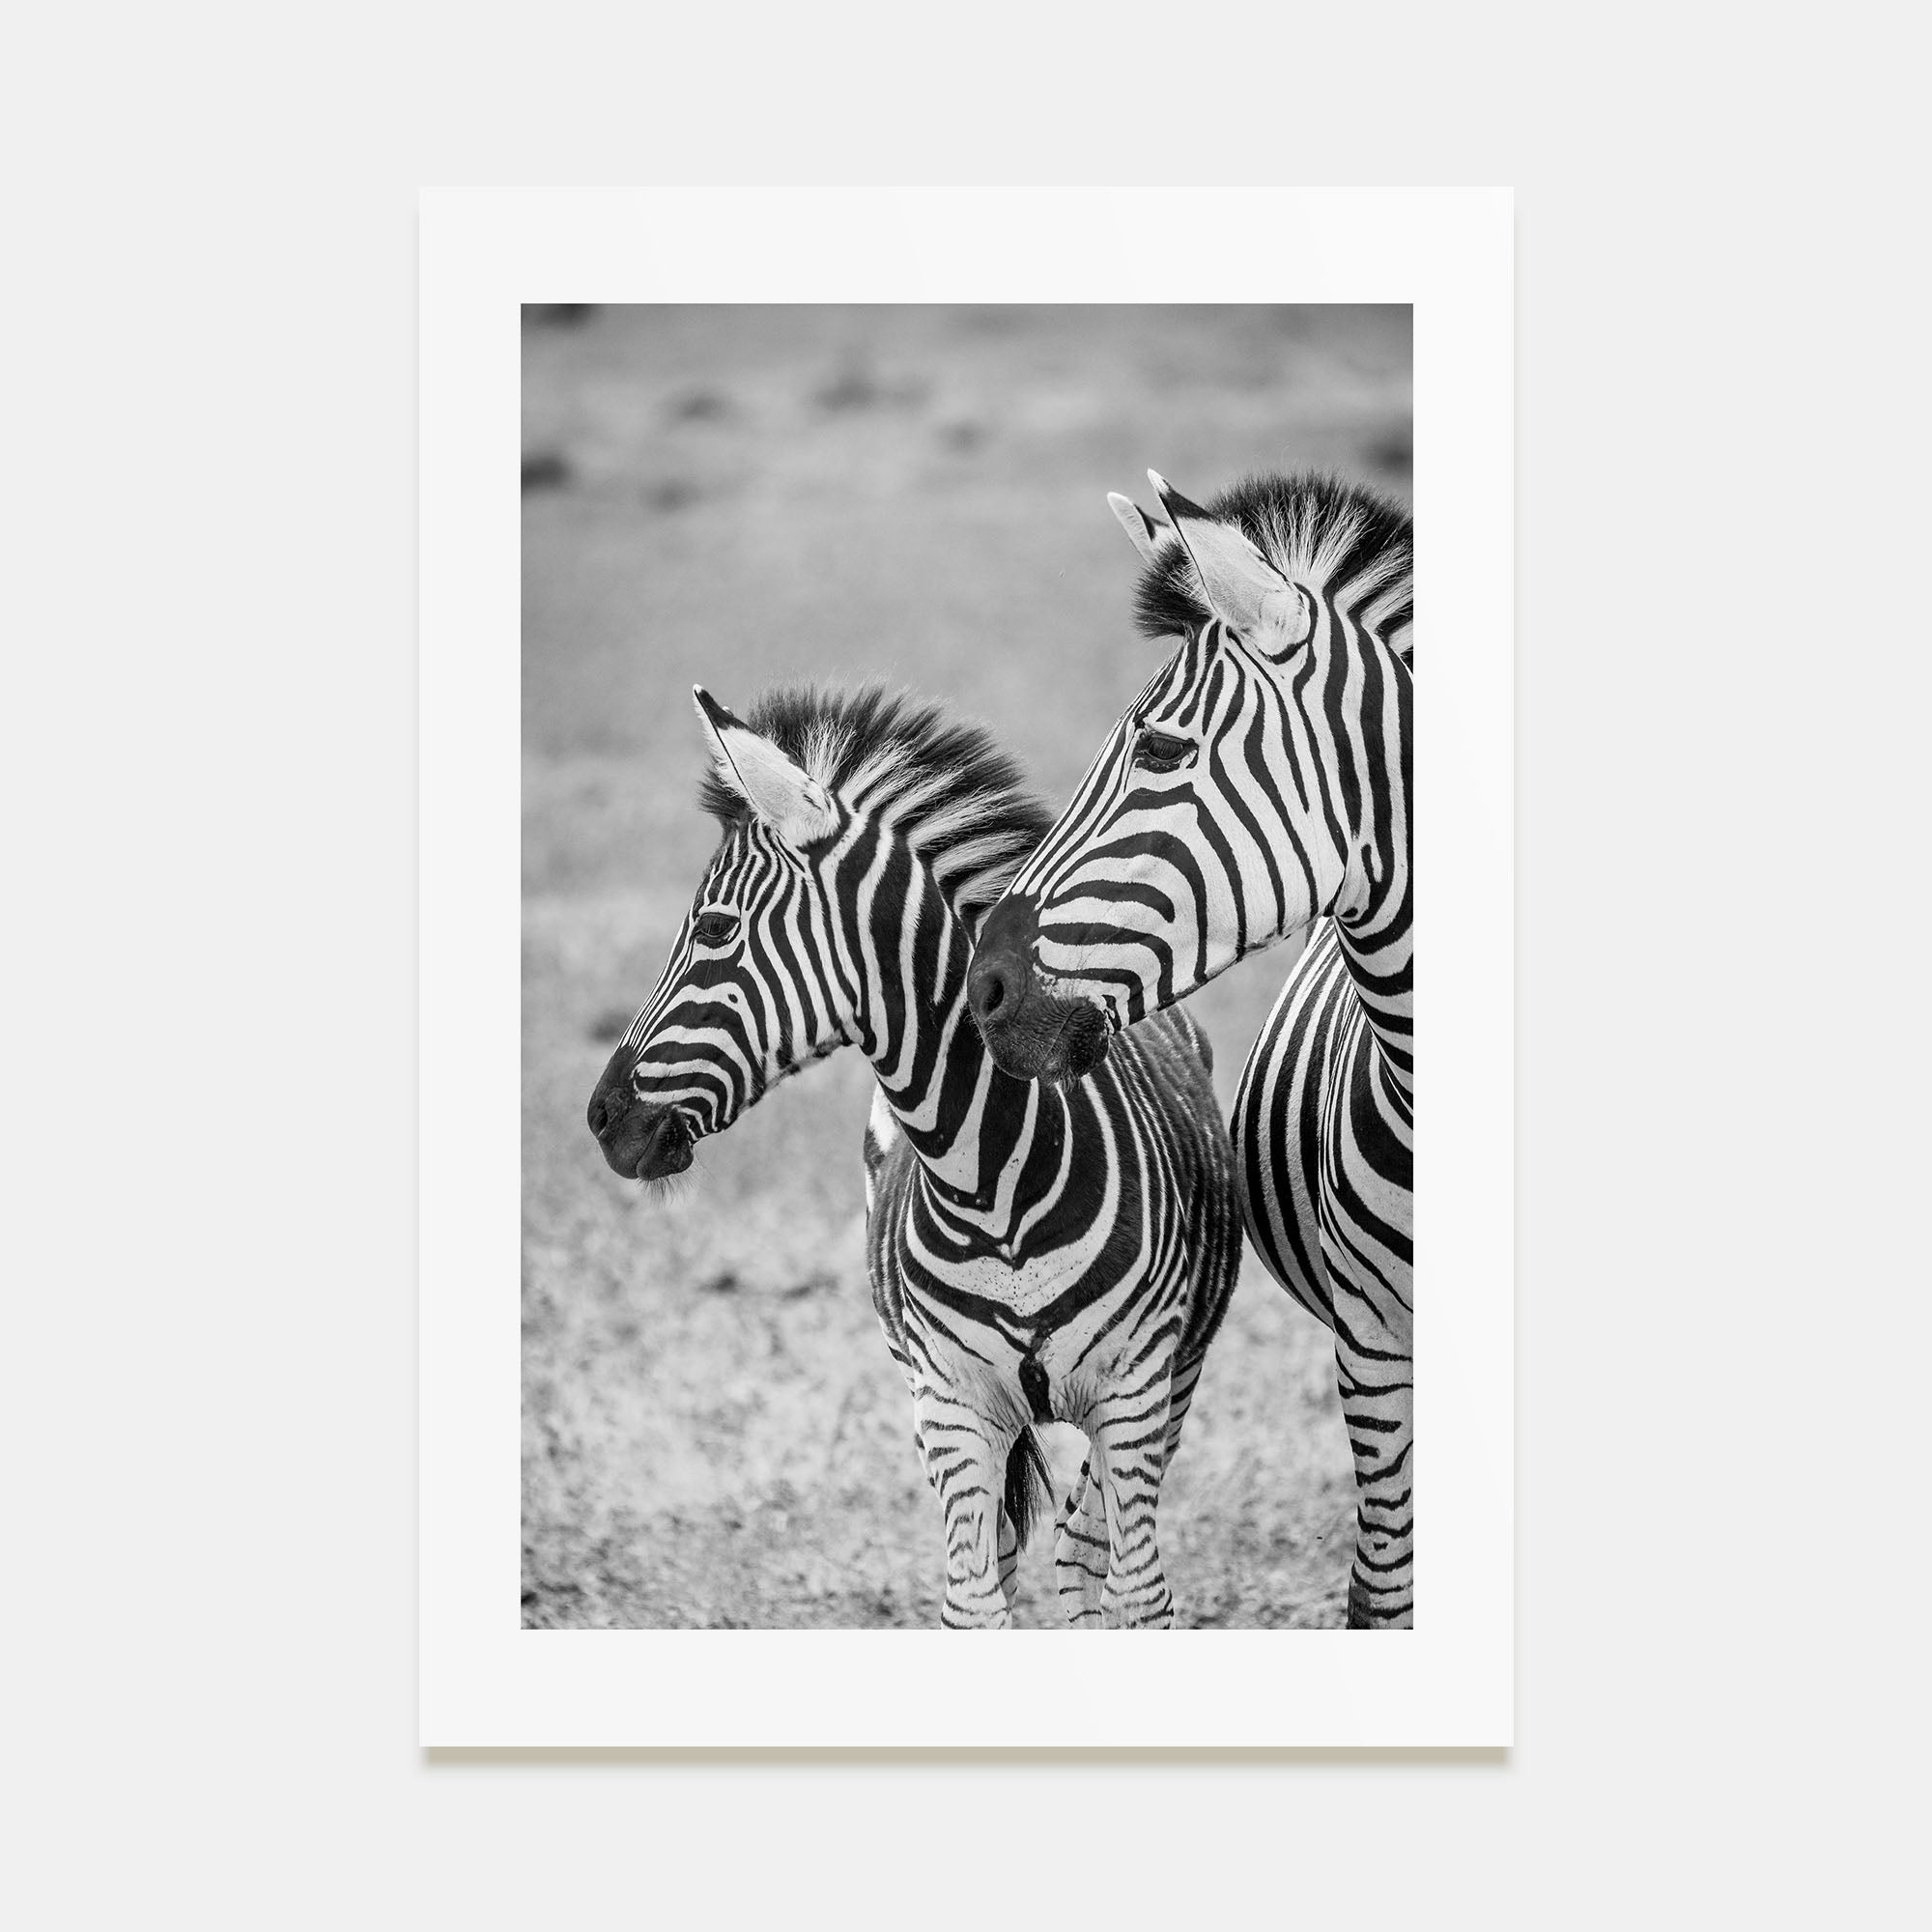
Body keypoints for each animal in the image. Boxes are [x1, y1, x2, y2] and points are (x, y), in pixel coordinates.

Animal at [585, 683, 1242, 1629]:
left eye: (712, 929)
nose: (601, 1117)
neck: (994, 1182)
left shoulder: (1135, 1395)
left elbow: (1140, 1595)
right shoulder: (952, 1408)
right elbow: (973, 1604)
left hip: (1172, 1384)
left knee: (1087, 1552)